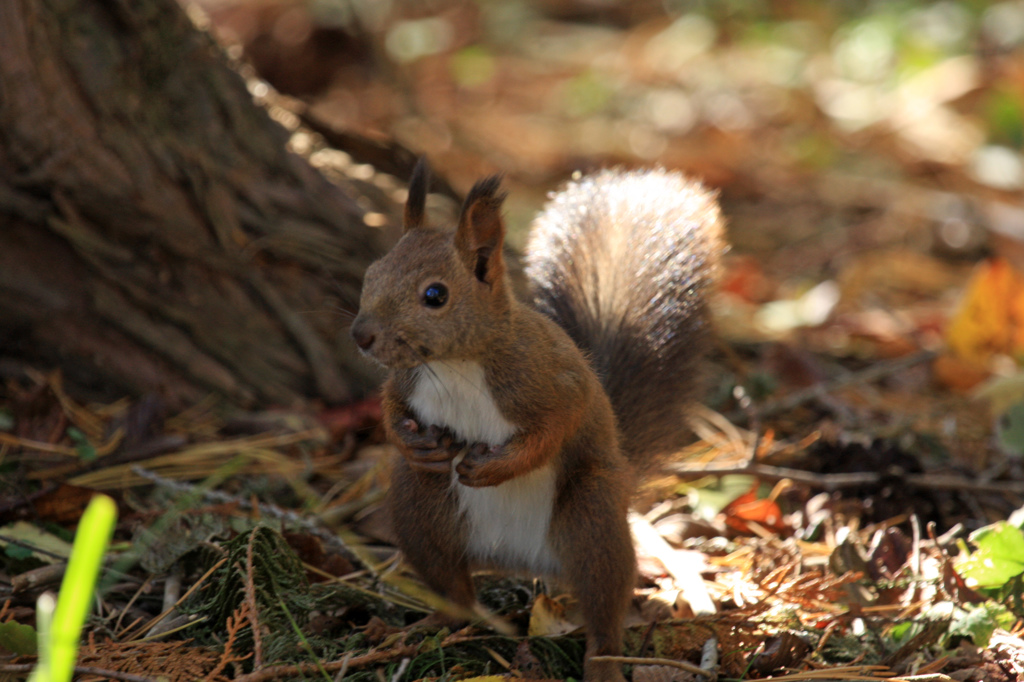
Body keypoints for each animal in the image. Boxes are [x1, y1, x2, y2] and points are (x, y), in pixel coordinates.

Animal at [350, 160, 720, 679]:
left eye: (435, 295)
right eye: (371, 274)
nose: (361, 335)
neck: (455, 363)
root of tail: (519, 559)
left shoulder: (551, 381)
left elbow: (553, 429)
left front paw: (494, 468)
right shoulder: (405, 382)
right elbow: (391, 411)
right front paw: (413, 443)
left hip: (591, 516)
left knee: (605, 602)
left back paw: (602, 662)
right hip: (418, 511)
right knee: (455, 590)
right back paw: (424, 626)